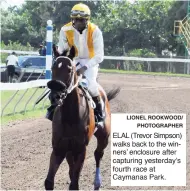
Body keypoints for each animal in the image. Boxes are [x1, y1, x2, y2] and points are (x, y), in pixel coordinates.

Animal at [44, 45, 120, 190]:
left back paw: (97, 183)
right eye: (52, 67)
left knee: (98, 154)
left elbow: (74, 184)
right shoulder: (58, 148)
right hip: (69, 149)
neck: (70, 116)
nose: (55, 96)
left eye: (69, 69)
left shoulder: (81, 149)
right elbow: (49, 182)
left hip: (104, 137)